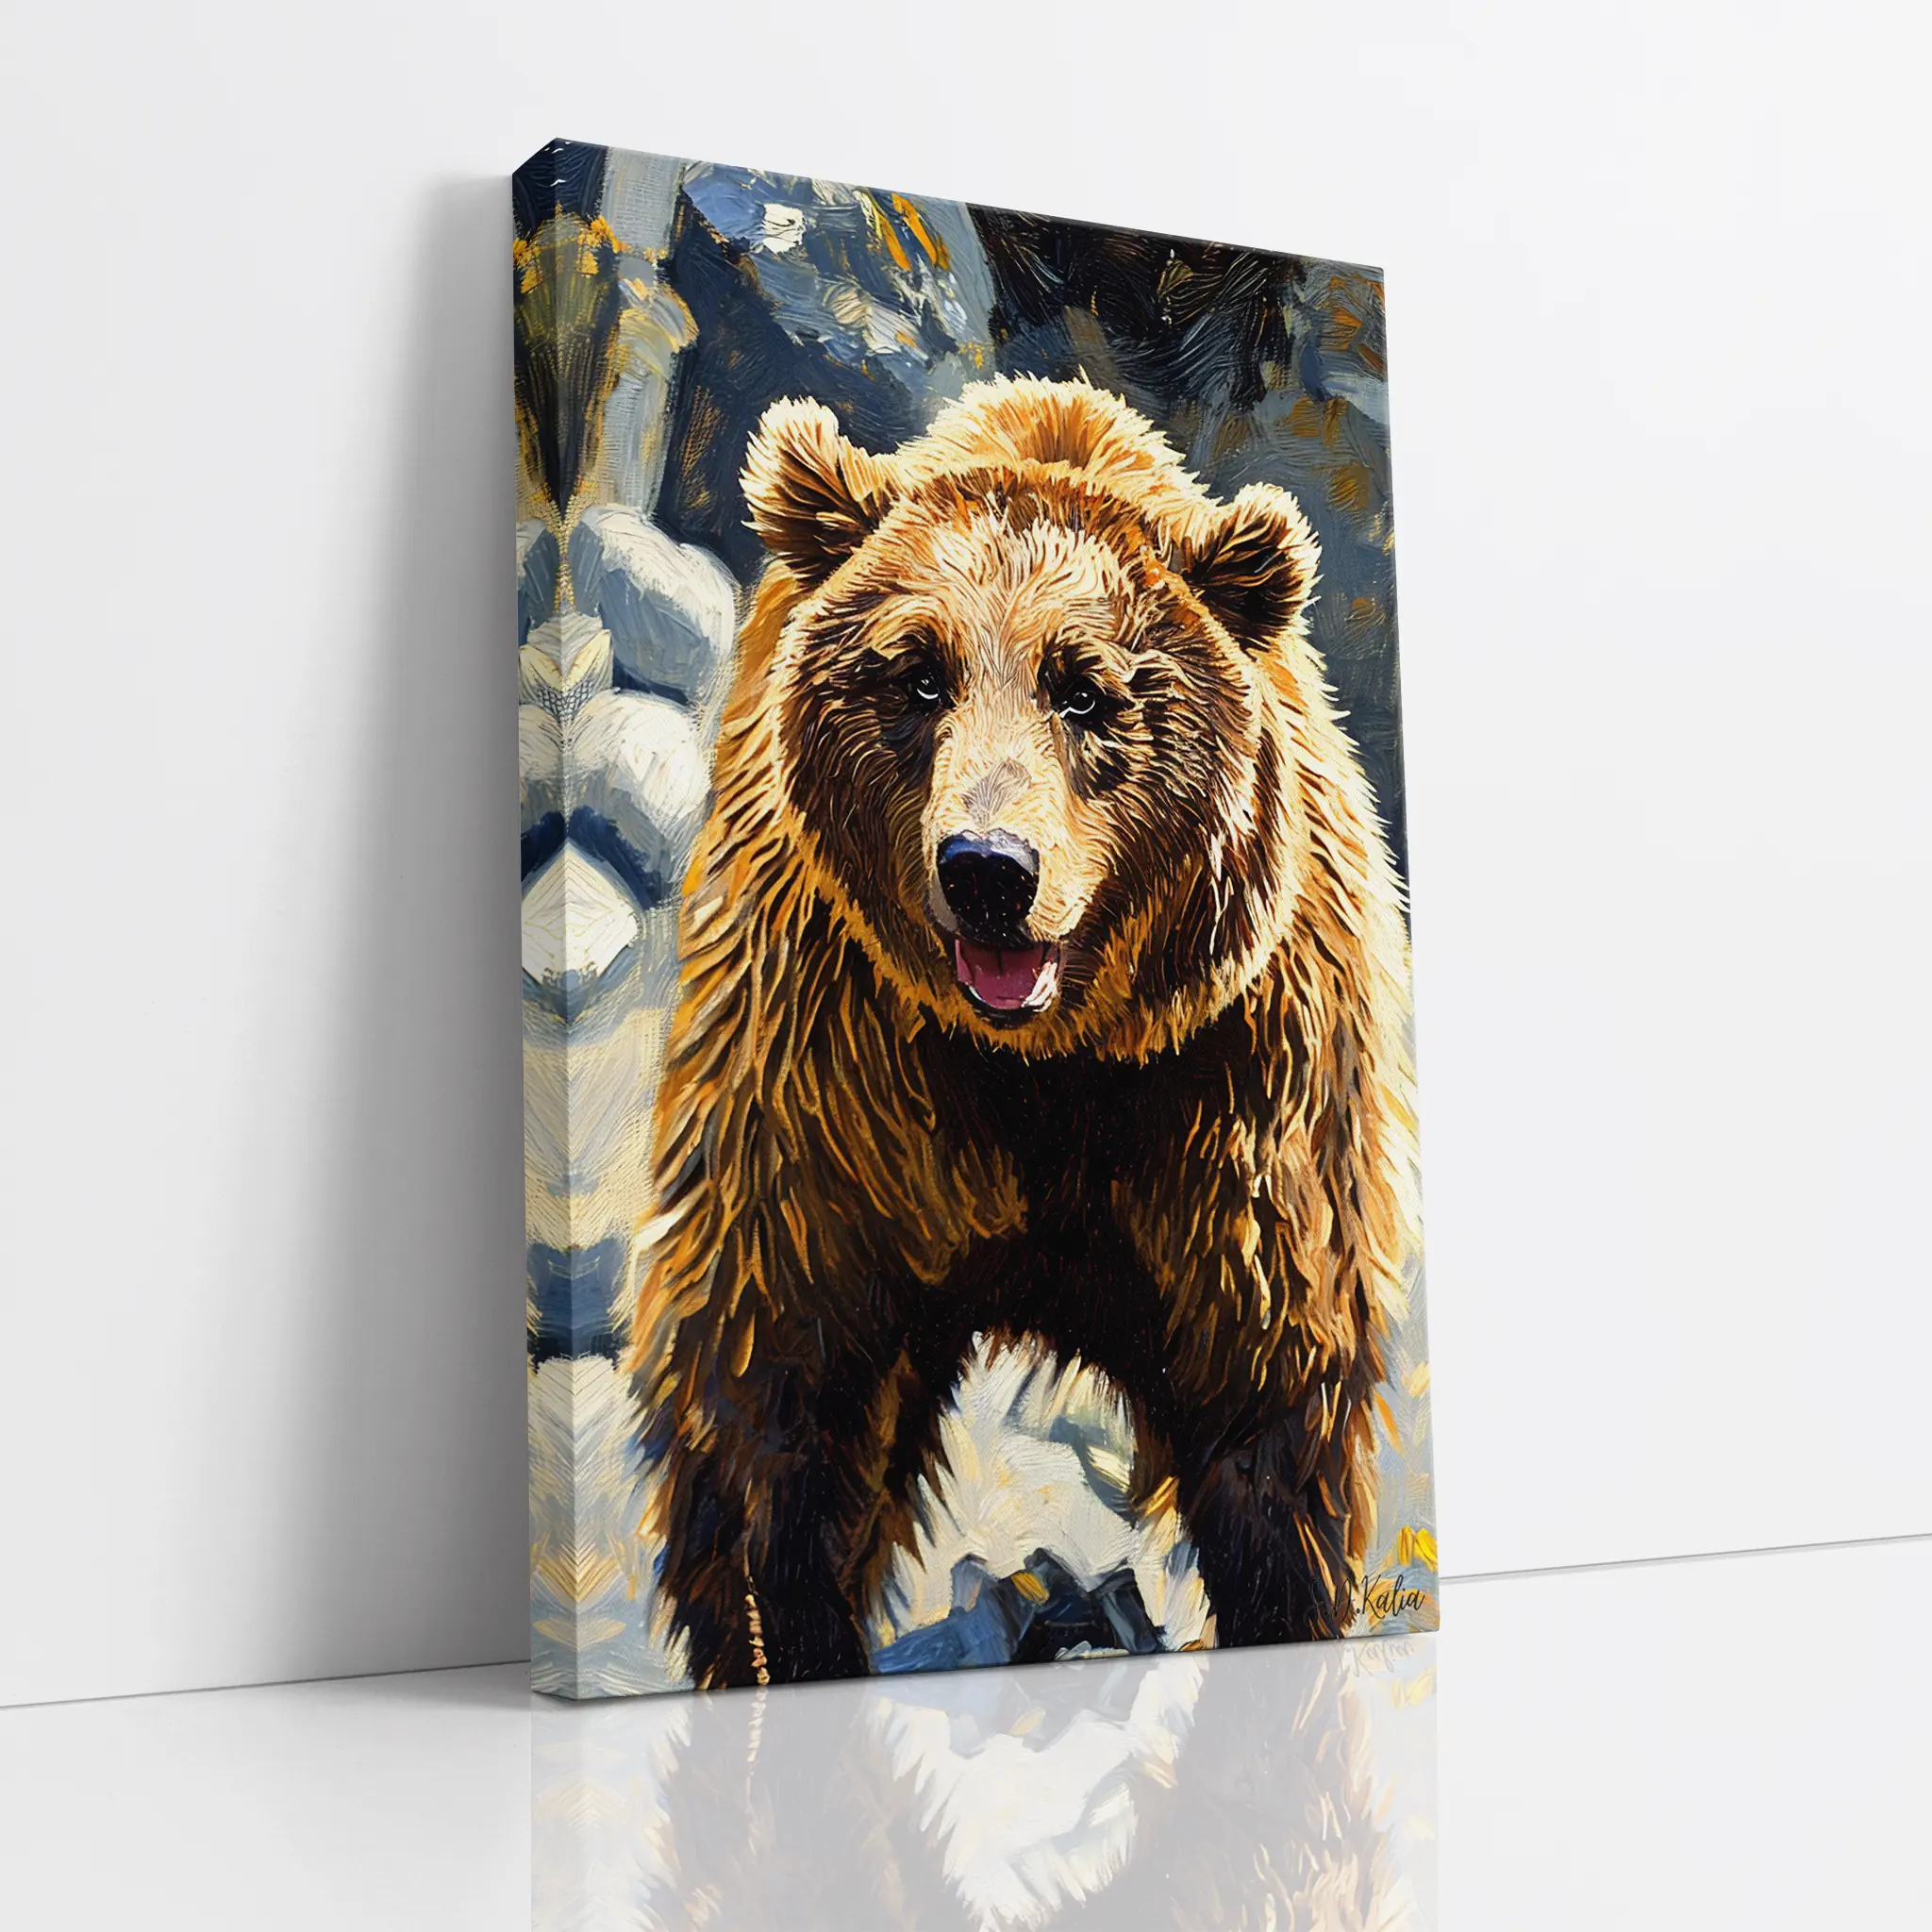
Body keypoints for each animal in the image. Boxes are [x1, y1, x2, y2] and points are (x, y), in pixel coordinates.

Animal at [622, 375, 1421, 1690]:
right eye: (914, 675)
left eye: (1084, 687)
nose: (988, 869)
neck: (1047, 1056)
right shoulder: (834, 1069)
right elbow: (776, 1393)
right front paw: (788, 1629)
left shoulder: (1232, 1092)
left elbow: (1269, 1417)